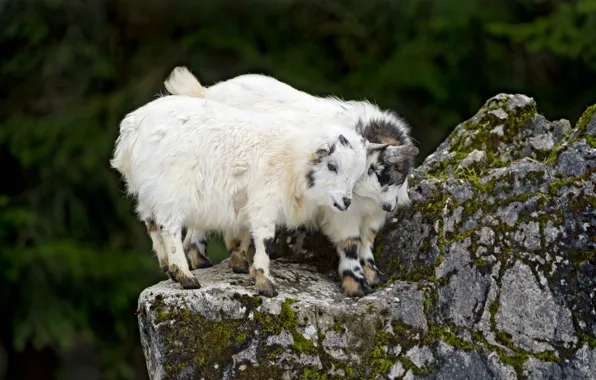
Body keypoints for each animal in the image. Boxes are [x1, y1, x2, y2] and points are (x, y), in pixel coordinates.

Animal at [110, 93, 368, 296]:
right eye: (332, 165)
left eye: (357, 174)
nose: (346, 202)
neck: (291, 158)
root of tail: (133, 129)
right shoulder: (265, 200)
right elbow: (264, 238)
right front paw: (265, 283)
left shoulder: (244, 201)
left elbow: (243, 232)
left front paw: (241, 264)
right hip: (171, 191)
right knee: (169, 228)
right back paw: (185, 276)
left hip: (147, 192)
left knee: (152, 225)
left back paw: (169, 268)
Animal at [164, 67, 420, 296]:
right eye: (374, 169)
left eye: (391, 171)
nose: (390, 206)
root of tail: (204, 92)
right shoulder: (343, 213)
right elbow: (351, 243)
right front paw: (356, 286)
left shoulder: (373, 214)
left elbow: (368, 240)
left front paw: (374, 276)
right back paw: (202, 260)